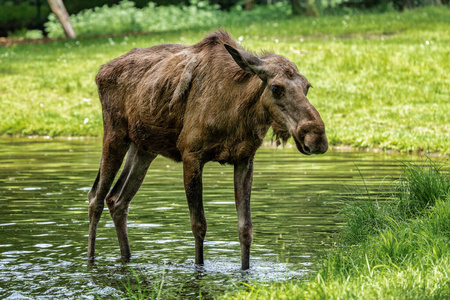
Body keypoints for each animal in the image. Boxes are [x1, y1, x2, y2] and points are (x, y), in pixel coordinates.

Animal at [88, 29, 326, 270]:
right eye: (276, 87)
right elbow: (199, 225)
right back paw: (91, 261)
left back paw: (127, 258)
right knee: (96, 197)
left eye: (307, 86)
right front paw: (199, 268)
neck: (237, 112)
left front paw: (245, 270)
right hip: (115, 133)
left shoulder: (245, 158)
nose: (317, 138)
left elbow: (245, 229)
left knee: (117, 200)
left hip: (144, 147)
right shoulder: (191, 154)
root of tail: (100, 72)